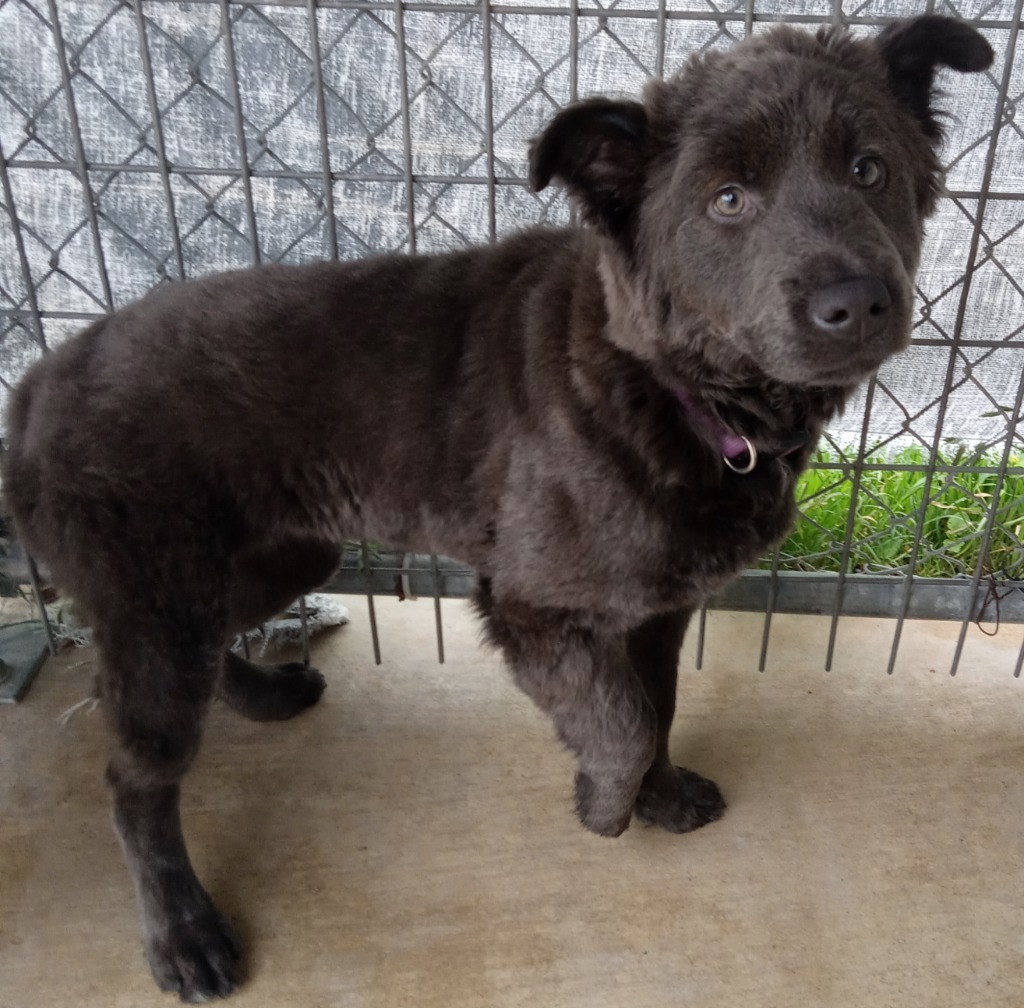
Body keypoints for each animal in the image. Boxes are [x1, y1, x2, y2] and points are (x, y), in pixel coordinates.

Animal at [0, 15, 991, 999]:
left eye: (869, 169)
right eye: (728, 199)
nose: (856, 303)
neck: (660, 385)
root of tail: (39, 381)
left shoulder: (657, 610)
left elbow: (658, 707)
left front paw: (659, 795)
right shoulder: (532, 608)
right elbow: (622, 723)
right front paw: (605, 807)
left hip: (271, 560)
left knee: (199, 653)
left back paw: (263, 698)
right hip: (162, 603)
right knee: (135, 778)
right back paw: (183, 935)